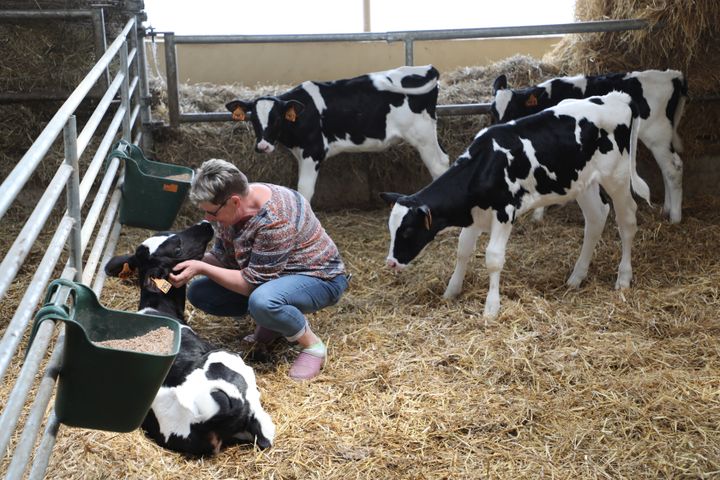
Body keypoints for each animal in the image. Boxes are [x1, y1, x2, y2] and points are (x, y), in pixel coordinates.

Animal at [104, 220, 276, 454]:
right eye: (177, 249)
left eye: (170, 233)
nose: (205, 223)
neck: (157, 309)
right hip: (230, 363)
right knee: (265, 436)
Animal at [226, 64, 450, 202]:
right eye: (253, 119)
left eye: (276, 119)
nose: (262, 146)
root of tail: (425, 68)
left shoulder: (313, 152)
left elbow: (304, 190)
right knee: (444, 160)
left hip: (422, 135)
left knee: (438, 166)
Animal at [382, 92, 652, 318]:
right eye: (391, 229)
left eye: (408, 230)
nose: (391, 262)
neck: (485, 165)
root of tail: (617, 97)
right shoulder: (475, 214)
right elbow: (462, 249)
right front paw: (451, 291)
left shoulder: (504, 212)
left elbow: (493, 258)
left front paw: (491, 308)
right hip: (582, 183)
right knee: (596, 217)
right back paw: (576, 277)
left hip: (617, 177)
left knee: (627, 221)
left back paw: (623, 278)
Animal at [490, 68, 688, 222]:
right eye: (493, 111)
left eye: (513, 109)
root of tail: (673, 76)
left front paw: (538, 214)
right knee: (671, 167)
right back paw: (667, 209)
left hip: (657, 136)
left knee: (672, 170)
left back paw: (675, 217)